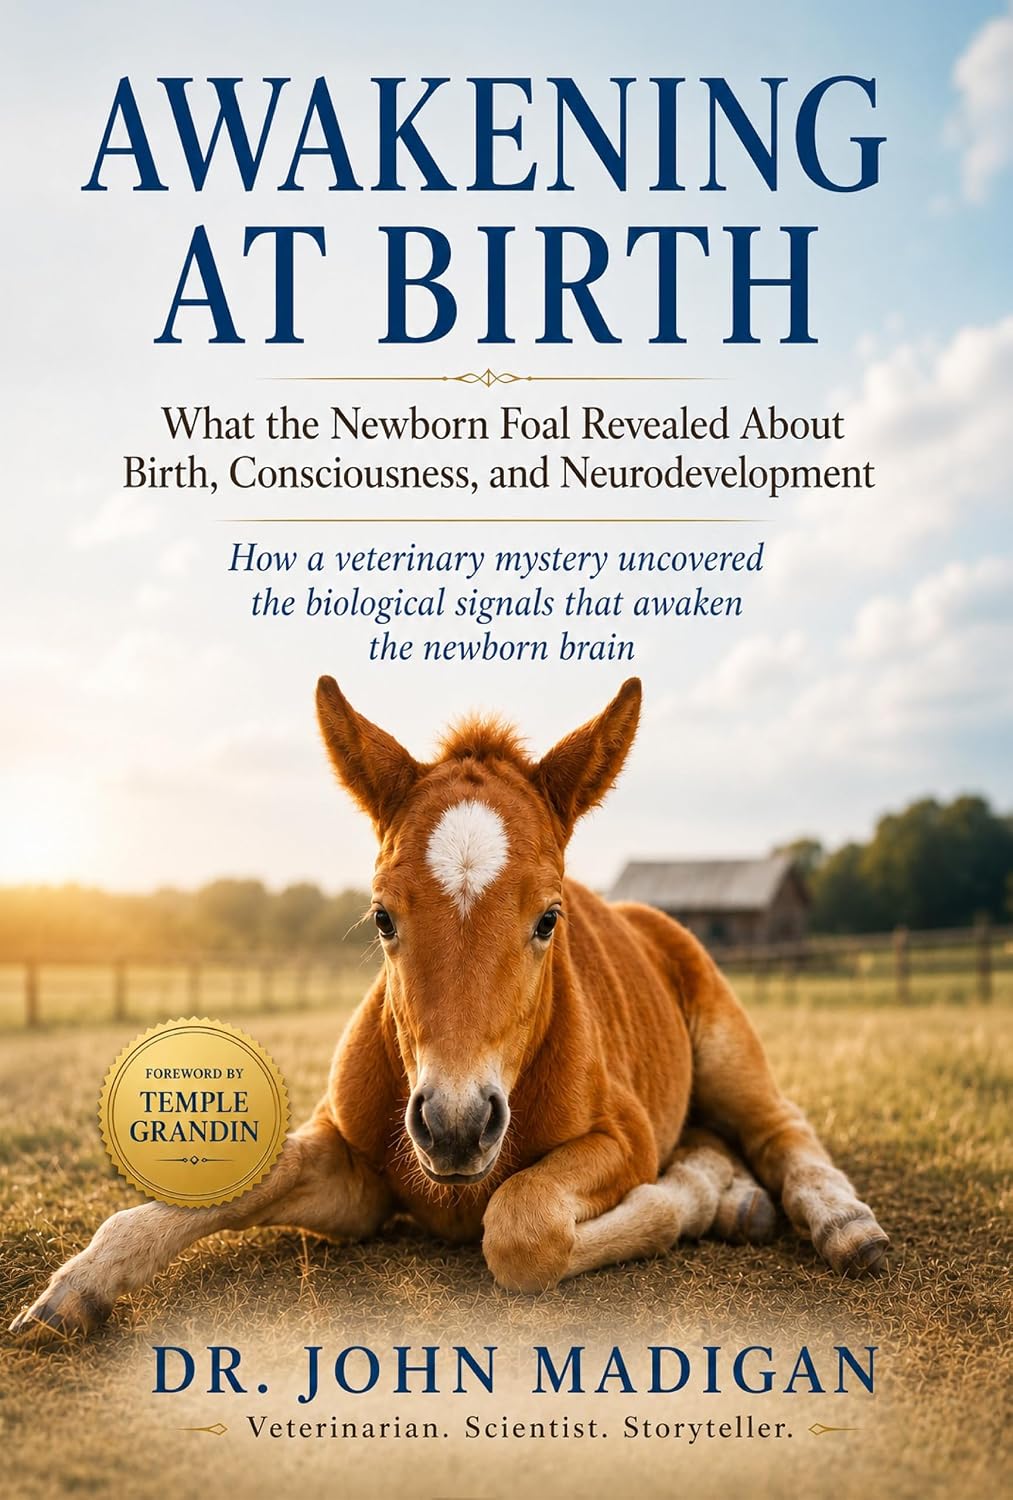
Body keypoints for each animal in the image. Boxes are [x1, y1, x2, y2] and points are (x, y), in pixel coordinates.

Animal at [10, 676, 888, 1337]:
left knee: (778, 1127)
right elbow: (245, 1176)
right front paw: (79, 1285)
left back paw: (832, 1221)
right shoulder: (357, 1177)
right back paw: (735, 1194)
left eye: (548, 917)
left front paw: (687, 1200)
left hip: (726, 1050)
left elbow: (522, 1228)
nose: (456, 1124)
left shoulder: (626, 1141)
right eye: (381, 917)